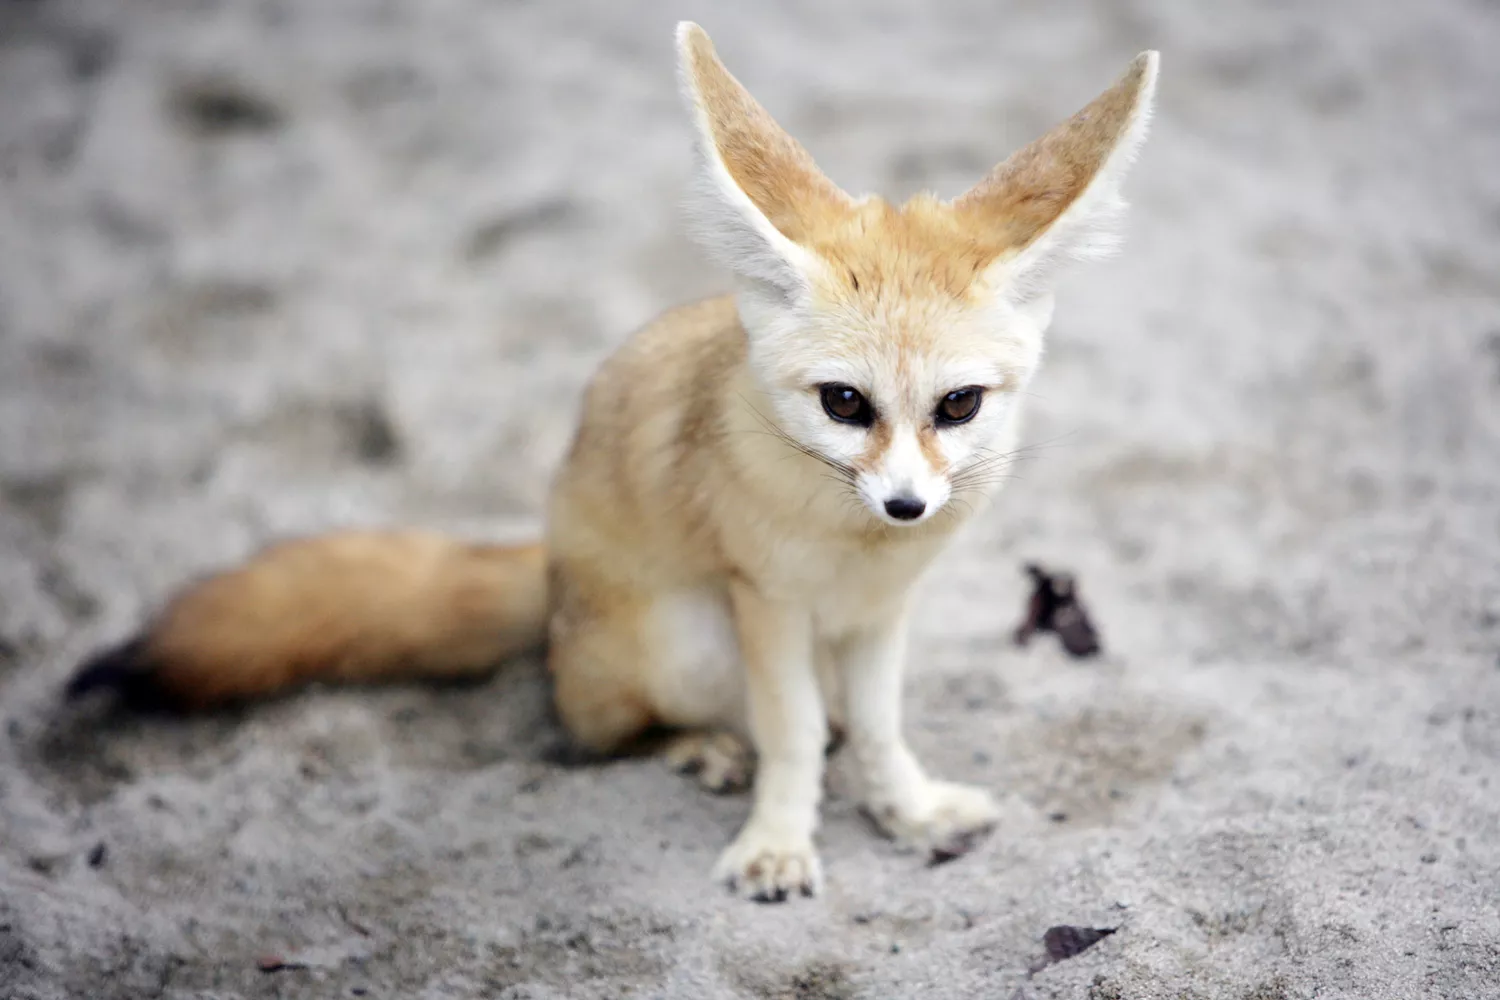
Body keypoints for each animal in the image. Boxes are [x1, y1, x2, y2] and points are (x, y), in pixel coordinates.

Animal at [67, 23, 1158, 905]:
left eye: (957, 405)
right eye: (845, 404)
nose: (904, 505)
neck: (854, 551)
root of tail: (549, 573)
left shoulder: (882, 613)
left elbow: (881, 728)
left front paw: (908, 809)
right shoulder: (766, 602)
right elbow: (792, 734)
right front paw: (778, 841)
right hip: (685, 638)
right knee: (600, 735)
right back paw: (697, 746)